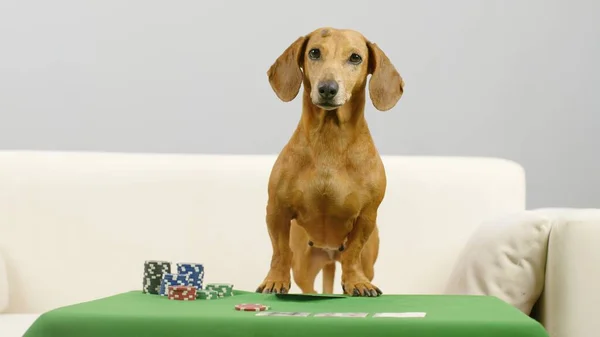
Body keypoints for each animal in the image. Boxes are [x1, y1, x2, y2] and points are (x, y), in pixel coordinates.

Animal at [255, 28, 406, 296]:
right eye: (314, 52)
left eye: (355, 57)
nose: (327, 88)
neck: (330, 140)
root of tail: (329, 253)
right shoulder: (276, 210)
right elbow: (279, 250)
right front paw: (275, 279)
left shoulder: (366, 217)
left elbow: (353, 252)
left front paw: (356, 281)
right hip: (304, 266)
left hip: (367, 261)